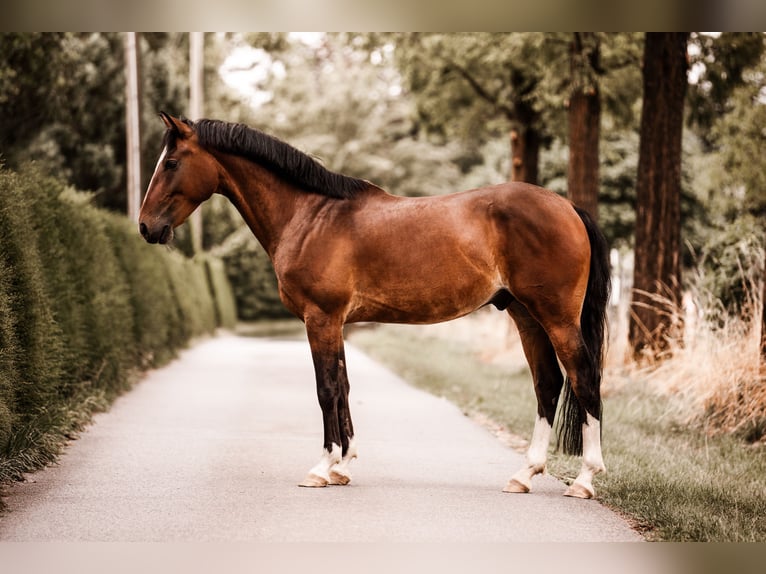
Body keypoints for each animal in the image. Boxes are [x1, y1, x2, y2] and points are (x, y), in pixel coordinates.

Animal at [139, 113, 611, 499]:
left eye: (170, 163)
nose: (145, 227)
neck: (311, 216)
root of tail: (568, 206)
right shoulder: (336, 323)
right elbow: (344, 386)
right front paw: (342, 467)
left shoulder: (321, 319)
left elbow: (327, 389)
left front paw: (322, 467)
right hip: (526, 316)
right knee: (548, 384)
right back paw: (524, 474)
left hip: (556, 317)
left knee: (584, 378)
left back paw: (585, 479)